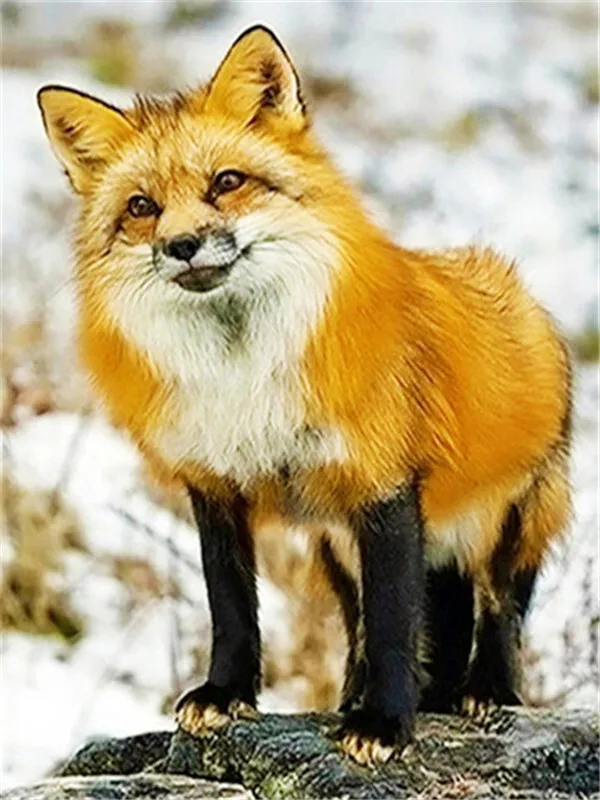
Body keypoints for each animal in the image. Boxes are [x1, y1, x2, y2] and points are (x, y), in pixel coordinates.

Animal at [37, 25, 572, 765]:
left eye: (226, 183)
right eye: (142, 207)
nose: (182, 244)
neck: (243, 372)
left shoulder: (383, 487)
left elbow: (395, 624)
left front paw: (384, 723)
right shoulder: (214, 488)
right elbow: (232, 608)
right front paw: (226, 693)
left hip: (510, 523)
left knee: (497, 610)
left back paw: (486, 692)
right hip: (336, 547)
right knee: (375, 624)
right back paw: (361, 698)